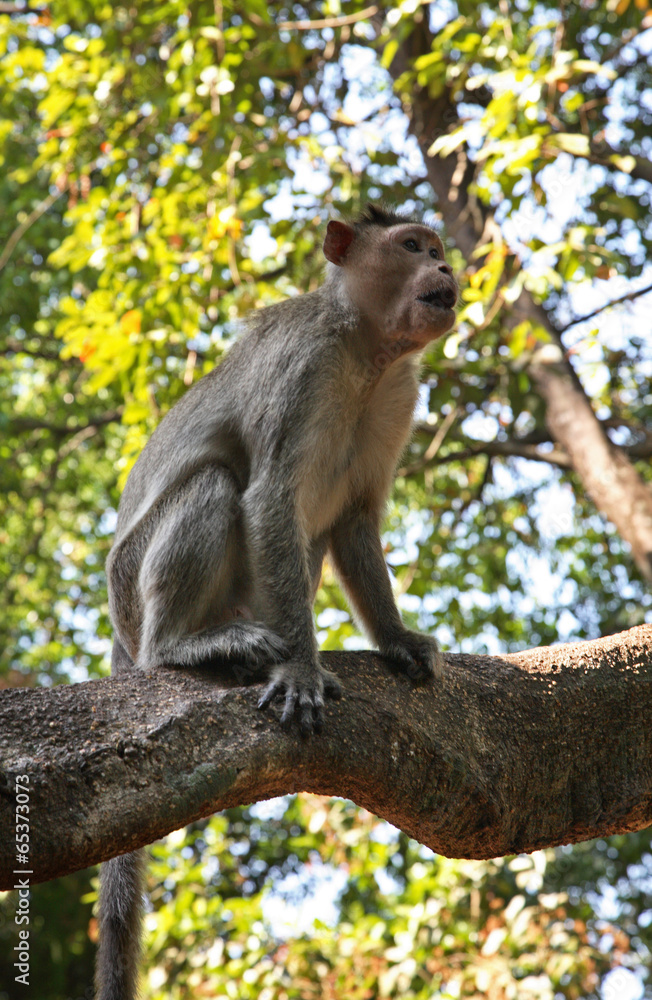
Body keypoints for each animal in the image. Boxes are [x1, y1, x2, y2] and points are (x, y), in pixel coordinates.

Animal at [95, 203, 458, 1000]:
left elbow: (354, 520)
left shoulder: (400, 393)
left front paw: (394, 637)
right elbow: (267, 497)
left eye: (438, 248)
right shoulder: (304, 367)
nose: (447, 267)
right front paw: (299, 666)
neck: (365, 349)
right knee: (217, 486)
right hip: (133, 592)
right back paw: (187, 644)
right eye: (411, 246)